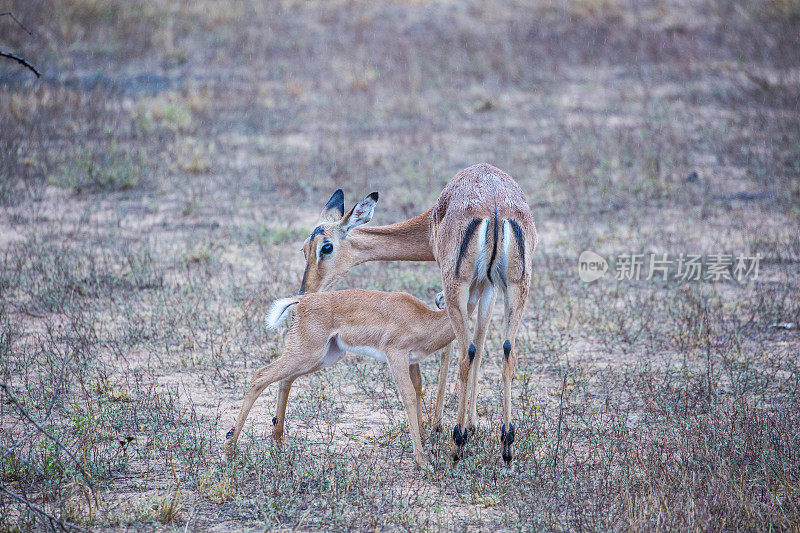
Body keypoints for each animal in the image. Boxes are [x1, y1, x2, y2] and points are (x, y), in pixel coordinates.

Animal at [225, 290, 456, 470]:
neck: (424, 320)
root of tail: (302, 301)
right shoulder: (396, 356)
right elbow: (408, 394)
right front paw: (422, 461)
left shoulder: (411, 362)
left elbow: (418, 389)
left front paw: (425, 444)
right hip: (306, 355)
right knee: (260, 376)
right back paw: (230, 447)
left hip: (322, 357)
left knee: (285, 380)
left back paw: (278, 442)